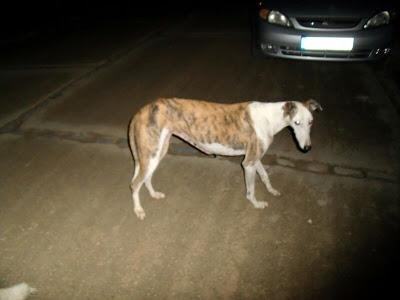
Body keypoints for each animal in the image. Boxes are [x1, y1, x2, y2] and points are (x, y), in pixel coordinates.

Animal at [128, 97, 322, 219]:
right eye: (297, 123)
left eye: (311, 121)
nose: (307, 148)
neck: (270, 117)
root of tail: (140, 111)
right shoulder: (248, 163)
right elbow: (251, 190)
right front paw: (256, 204)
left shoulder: (255, 158)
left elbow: (265, 176)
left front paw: (272, 190)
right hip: (151, 155)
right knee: (135, 184)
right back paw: (138, 210)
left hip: (157, 153)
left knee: (146, 178)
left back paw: (154, 194)